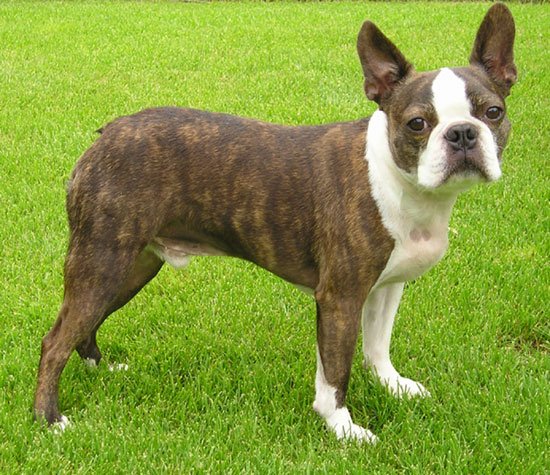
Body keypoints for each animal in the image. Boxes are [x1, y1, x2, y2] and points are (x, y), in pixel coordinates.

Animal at [34, 3, 516, 442]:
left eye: (493, 113)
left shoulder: (387, 286)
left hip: (131, 265)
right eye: (417, 123)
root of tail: (106, 135)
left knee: (85, 326)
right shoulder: (340, 297)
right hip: (102, 261)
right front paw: (343, 428)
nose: (461, 133)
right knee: (55, 341)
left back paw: (100, 369)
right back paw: (50, 420)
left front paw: (393, 386)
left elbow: (377, 346)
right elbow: (335, 371)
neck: (400, 182)